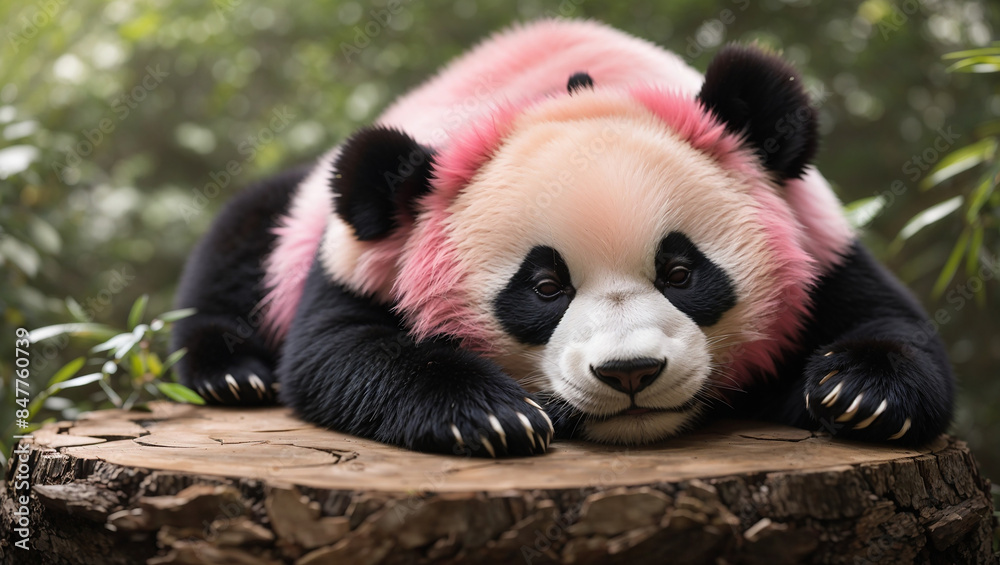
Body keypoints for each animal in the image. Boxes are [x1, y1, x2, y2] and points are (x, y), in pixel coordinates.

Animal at [173, 19, 954, 457]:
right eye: (545, 287)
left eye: (681, 272)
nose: (631, 372)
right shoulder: (368, 263)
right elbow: (343, 355)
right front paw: (492, 417)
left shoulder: (815, 241)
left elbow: (885, 322)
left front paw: (860, 393)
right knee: (240, 239)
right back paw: (232, 372)